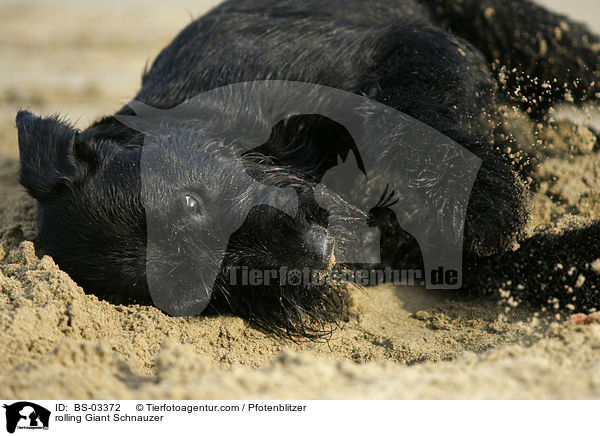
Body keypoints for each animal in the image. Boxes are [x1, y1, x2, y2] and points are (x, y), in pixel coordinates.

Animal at [15, 0, 600, 338]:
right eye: (214, 289)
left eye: (189, 202)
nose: (318, 254)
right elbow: (531, 264)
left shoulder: (399, 47)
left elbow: (406, 119)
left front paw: (486, 202)